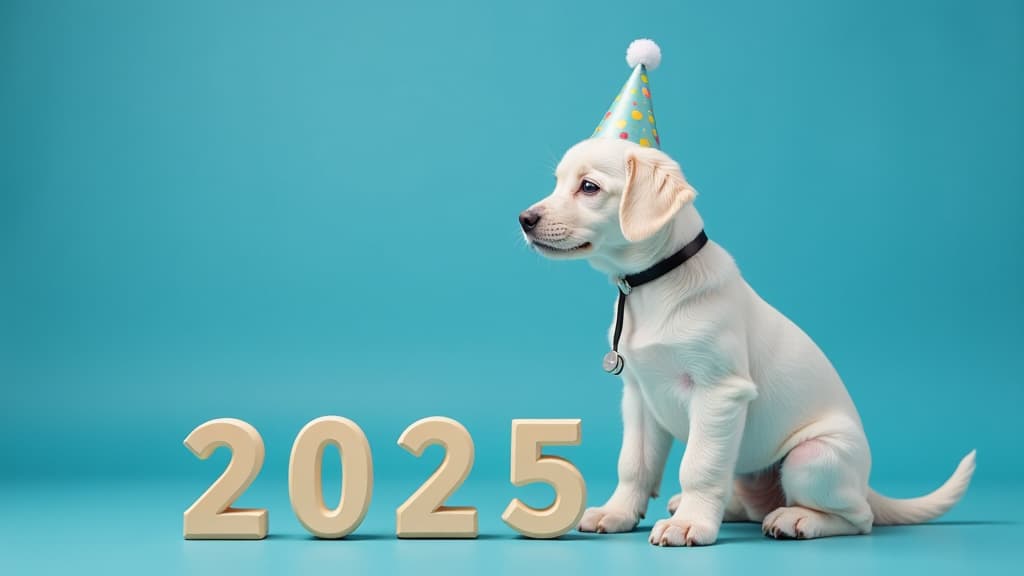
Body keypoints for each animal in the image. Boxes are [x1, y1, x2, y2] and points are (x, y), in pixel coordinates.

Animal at [520, 136, 974, 545]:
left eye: (589, 187)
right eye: (558, 182)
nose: (524, 218)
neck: (651, 286)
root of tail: (865, 484)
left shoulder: (719, 391)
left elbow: (698, 465)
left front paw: (690, 525)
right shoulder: (639, 396)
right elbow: (634, 464)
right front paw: (618, 513)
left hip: (812, 457)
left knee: (857, 518)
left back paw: (796, 519)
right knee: (749, 501)